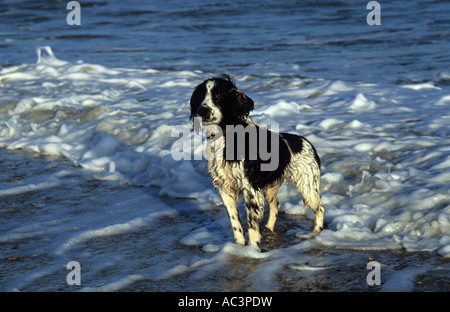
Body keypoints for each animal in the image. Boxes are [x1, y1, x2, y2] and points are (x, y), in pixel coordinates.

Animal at [189, 75, 324, 251]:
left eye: (218, 95)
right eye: (200, 95)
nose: (203, 110)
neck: (227, 134)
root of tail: (307, 142)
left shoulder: (250, 189)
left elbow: (252, 225)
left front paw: (253, 249)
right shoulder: (225, 188)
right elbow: (236, 223)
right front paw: (239, 247)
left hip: (308, 187)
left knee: (320, 208)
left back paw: (315, 233)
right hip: (271, 189)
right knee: (275, 206)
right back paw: (269, 229)